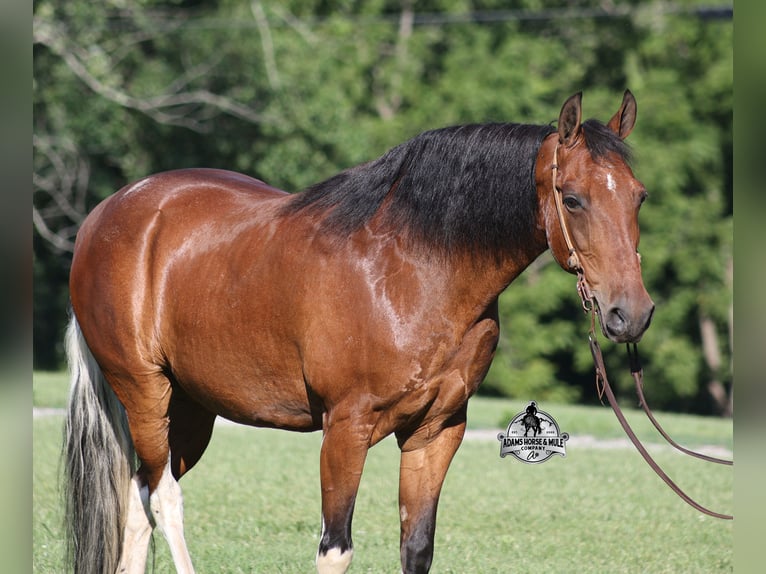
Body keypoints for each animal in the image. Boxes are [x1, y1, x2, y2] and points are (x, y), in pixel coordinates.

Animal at [63, 90, 654, 574]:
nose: (632, 313)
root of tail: (108, 214)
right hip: (145, 391)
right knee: (164, 499)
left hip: (190, 409)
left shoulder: (437, 431)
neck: (414, 271)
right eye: (572, 198)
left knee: (138, 497)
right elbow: (335, 549)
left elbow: (416, 548)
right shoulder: (345, 429)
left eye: (639, 196)